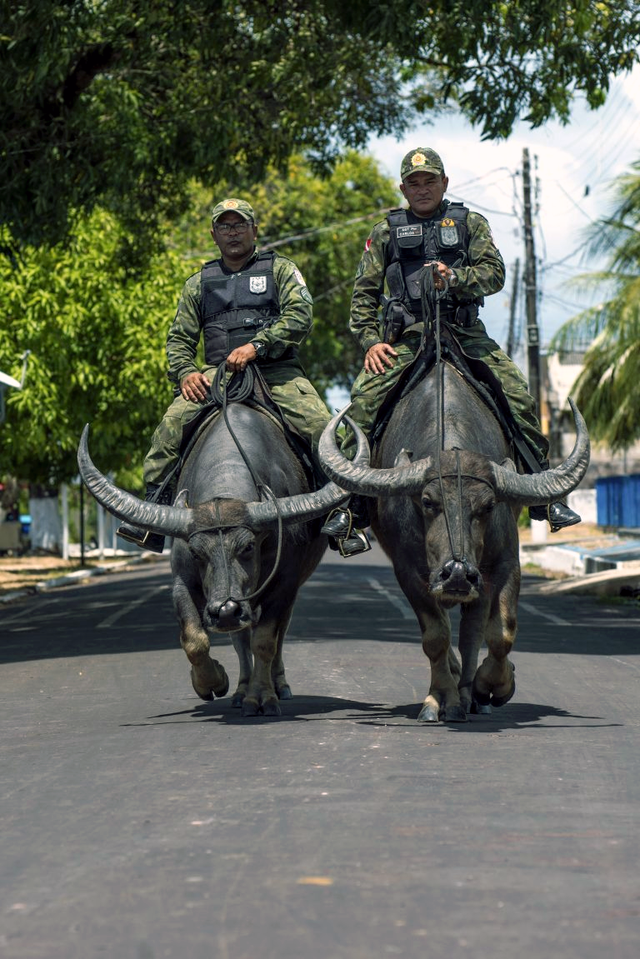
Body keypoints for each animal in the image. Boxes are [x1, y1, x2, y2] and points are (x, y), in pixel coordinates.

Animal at [76, 404, 364, 712]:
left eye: (248, 546)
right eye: (196, 552)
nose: (225, 610)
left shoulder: (284, 584)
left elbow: (265, 641)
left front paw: (262, 697)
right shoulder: (183, 581)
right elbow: (195, 639)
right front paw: (212, 683)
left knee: (277, 634)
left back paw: (278, 686)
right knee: (240, 637)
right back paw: (240, 690)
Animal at [320, 360, 592, 720]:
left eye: (488, 505)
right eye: (427, 501)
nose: (458, 574)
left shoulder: (503, 563)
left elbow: (499, 632)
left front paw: (491, 687)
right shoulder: (409, 571)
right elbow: (435, 635)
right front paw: (441, 700)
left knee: (471, 633)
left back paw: (472, 693)